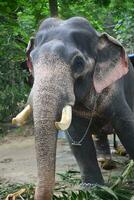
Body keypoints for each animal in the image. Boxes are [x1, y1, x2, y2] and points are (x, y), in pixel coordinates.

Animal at [12, 17, 134, 200]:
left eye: (78, 62)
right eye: (31, 61)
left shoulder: (114, 88)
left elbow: (126, 125)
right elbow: (76, 136)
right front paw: (94, 190)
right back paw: (106, 163)